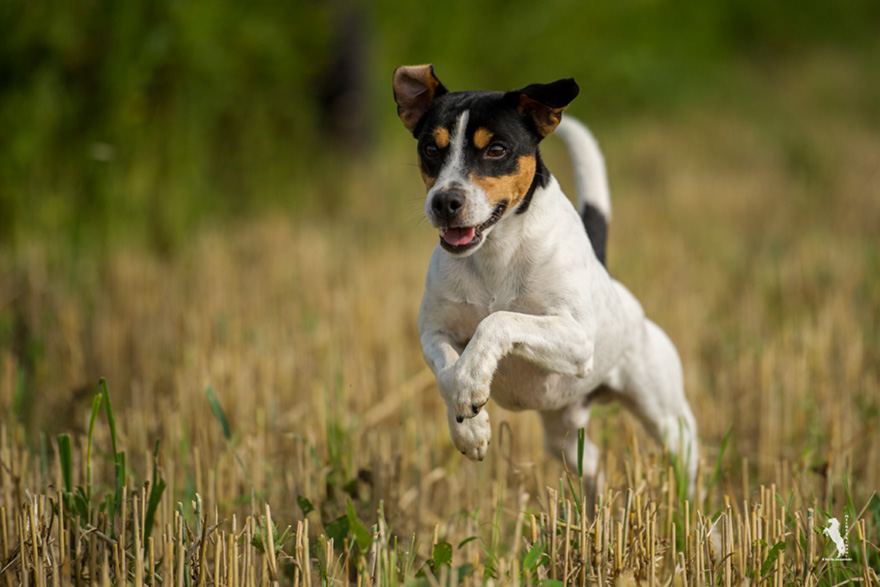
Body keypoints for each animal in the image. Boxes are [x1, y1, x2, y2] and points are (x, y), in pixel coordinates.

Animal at [396, 64, 696, 492]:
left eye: (496, 150)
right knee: (593, 469)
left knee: (688, 466)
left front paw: (471, 380)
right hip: (563, 436)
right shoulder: (433, 334)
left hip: (668, 419)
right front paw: (469, 425)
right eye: (430, 149)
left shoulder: (577, 338)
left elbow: (498, 320)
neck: (495, 253)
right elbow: (446, 373)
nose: (444, 202)